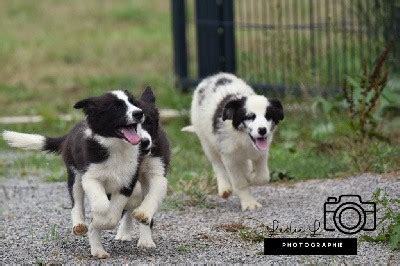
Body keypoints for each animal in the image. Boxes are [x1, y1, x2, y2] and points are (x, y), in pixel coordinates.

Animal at [3, 89, 169, 258]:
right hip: (74, 175)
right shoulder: (90, 176)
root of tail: (69, 134)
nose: (138, 113)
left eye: (148, 121)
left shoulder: (131, 181)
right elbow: (101, 204)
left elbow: (120, 210)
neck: (117, 148)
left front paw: (110, 221)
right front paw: (98, 219)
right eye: (115, 107)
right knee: (76, 202)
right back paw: (85, 231)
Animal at [183, 74, 282, 211]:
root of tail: (212, 77)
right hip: (207, 141)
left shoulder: (261, 154)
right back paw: (224, 188)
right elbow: (240, 182)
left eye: (268, 116)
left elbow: (263, 177)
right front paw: (249, 203)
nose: (262, 130)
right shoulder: (229, 157)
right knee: (217, 164)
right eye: (250, 116)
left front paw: (251, 177)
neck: (243, 139)